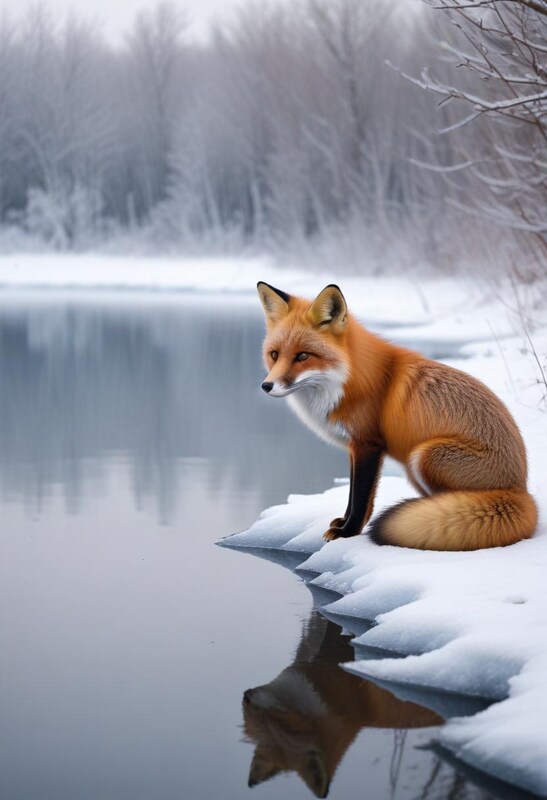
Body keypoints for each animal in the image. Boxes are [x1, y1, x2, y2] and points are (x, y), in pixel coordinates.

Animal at [257, 281, 538, 550]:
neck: (348, 381)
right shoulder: (354, 447)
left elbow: (360, 498)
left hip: (424, 455)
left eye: (303, 356)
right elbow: (353, 496)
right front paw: (343, 523)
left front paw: (347, 533)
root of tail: (521, 489)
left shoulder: (368, 445)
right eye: (274, 355)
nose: (266, 386)